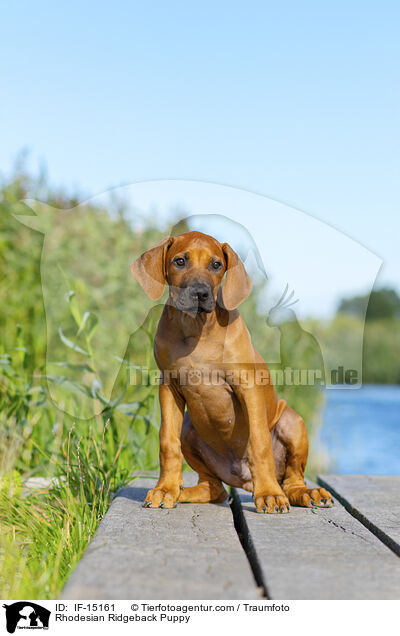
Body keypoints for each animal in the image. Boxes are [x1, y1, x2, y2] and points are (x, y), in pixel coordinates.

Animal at [131, 231, 332, 516]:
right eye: (180, 261)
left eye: (216, 264)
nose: (201, 293)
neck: (197, 329)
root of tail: (243, 480)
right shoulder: (168, 387)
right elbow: (167, 441)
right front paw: (165, 489)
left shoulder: (248, 386)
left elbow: (260, 443)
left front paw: (269, 494)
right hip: (190, 430)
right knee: (214, 489)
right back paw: (183, 492)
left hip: (292, 421)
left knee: (292, 480)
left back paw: (304, 492)